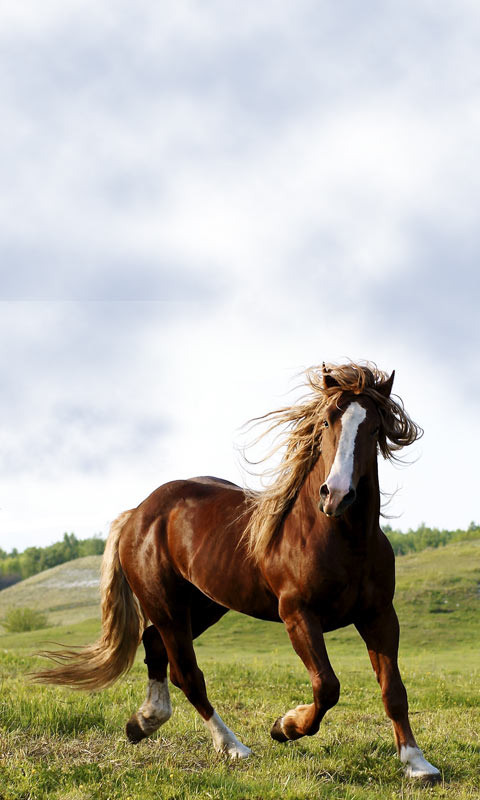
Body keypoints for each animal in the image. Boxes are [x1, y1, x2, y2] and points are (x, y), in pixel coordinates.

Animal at [33, 362, 438, 780]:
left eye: (374, 428)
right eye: (327, 421)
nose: (337, 495)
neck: (341, 538)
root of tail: (138, 513)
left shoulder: (379, 615)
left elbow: (393, 691)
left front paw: (417, 762)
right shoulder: (298, 615)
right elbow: (327, 686)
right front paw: (284, 726)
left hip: (204, 606)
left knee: (154, 645)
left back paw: (144, 722)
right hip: (168, 607)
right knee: (188, 675)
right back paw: (232, 746)